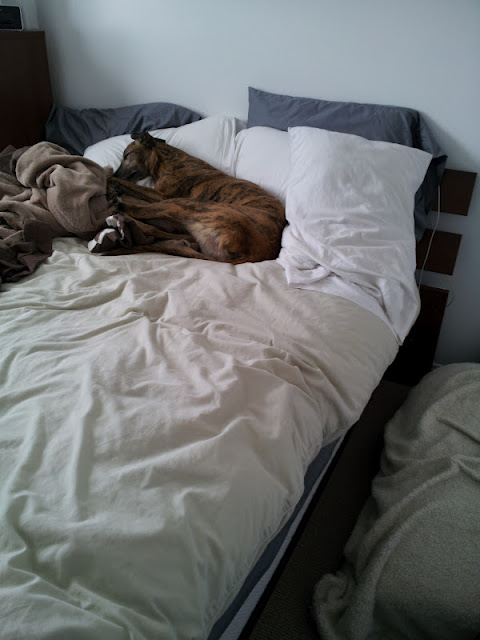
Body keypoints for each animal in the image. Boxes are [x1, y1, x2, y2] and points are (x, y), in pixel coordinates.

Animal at [106, 132, 286, 263]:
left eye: (126, 155)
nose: (116, 172)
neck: (168, 160)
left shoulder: (161, 196)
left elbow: (128, 184)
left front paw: (111, 179)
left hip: (185, 204)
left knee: (140, 216)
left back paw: (119, 208)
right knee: (165, 232)